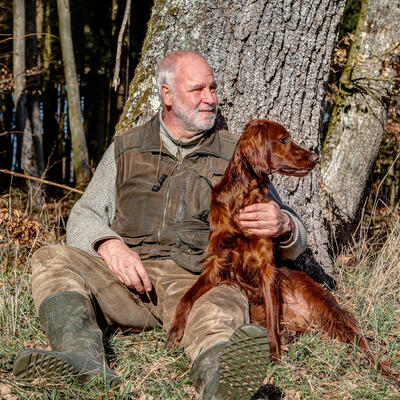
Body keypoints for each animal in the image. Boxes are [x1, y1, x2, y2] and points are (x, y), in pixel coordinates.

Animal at [169, 119, 396, 384]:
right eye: (284, 139)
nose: (315, 157)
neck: (243, 196)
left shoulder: (266, 265)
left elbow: (271, 324)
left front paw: (274, 359)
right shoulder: (217, 262)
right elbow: (187, 296)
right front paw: (175, 330)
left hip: (328, 306)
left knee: (359, 337)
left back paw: (385, 371)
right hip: (257, 309)